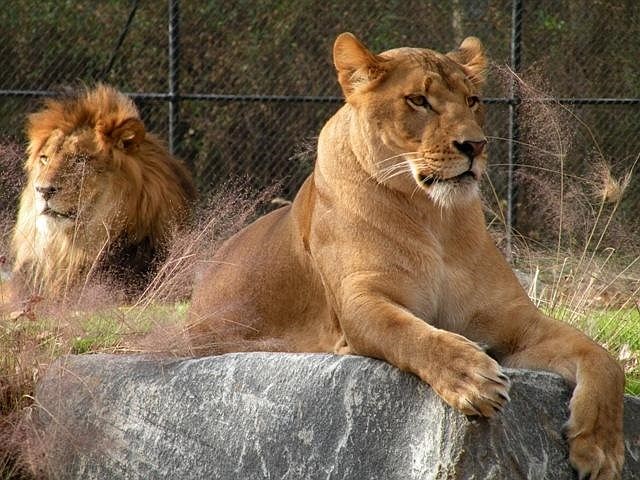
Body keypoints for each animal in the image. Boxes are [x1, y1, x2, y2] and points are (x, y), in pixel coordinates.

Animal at [188, 32, 624, 476]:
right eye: (418, 100)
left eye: (472, 100)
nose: (475, 145)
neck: (434, 216)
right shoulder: (359, 303)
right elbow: (412, 333)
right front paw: (473, 378)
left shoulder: (516, 322)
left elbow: (604, 359)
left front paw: (601, 450)